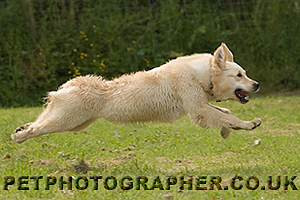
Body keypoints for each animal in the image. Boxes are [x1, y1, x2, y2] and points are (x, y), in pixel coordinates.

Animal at [11, 43, 260, 144]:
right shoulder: (197, 107)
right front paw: (249, 124)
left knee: (39, 122)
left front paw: (227, 131)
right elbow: (226, 115)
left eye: (245, 74)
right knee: (38, 129)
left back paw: (20, 129)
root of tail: (71, 84)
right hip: (67, 120)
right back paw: (18, 137)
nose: (257, 85)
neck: (204, 75)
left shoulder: (198, 107)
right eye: (239, 75)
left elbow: (225, 112)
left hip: (74, 122)